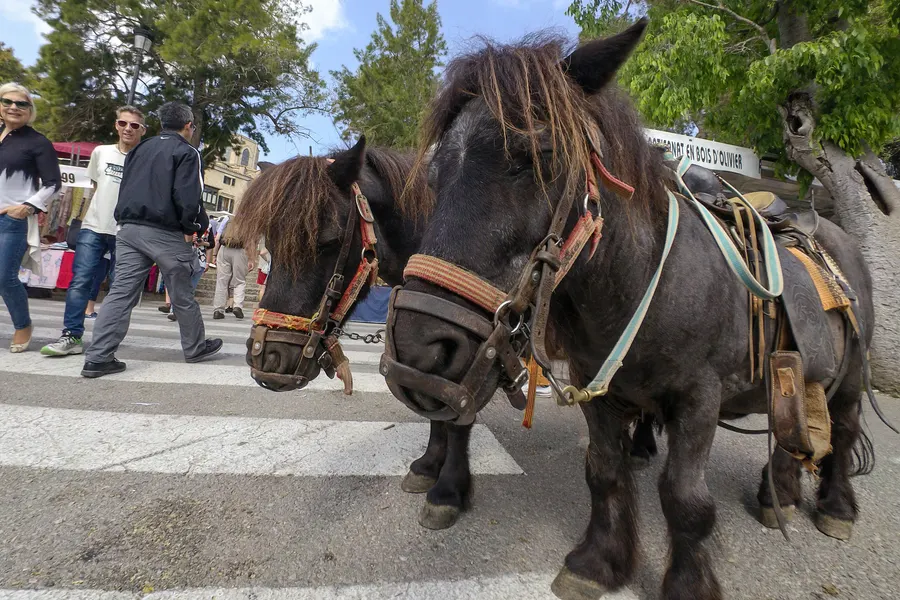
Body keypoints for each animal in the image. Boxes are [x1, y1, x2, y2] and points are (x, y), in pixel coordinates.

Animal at [234, 139, 481, 526]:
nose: (267, 356)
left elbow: (456, 412)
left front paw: (448, 491)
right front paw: (428, 467)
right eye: (269, 245)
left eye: (328, 242)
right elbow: (431, 400)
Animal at [379, 21, 878, 600]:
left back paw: (835, 507)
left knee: (843, 429)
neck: (644, 286)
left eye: (539, 157)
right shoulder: (598, 390)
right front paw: (599, 561)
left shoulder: (699, 399)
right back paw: (780, 493)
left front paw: (687, 584)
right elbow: (604, 472)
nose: (418, 349)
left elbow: (685, 500)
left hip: (849, 378)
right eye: (435, 175)